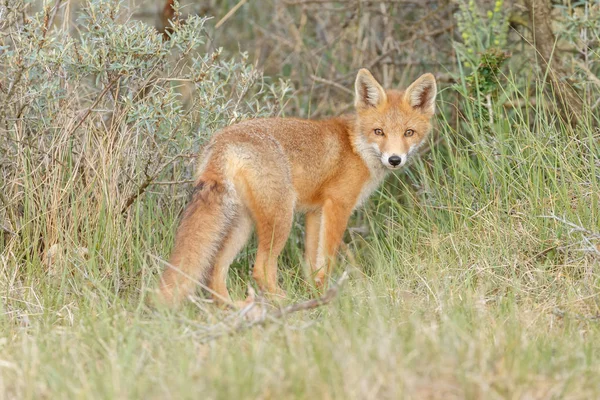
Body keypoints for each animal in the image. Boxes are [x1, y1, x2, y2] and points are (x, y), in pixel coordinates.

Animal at [155, 68, 436, 306]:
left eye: (409, 133)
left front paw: (316, 292)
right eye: (379, 132)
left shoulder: (316, 212)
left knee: (215, 271)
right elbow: (328, 258)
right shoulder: (338, 205)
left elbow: (313, 262)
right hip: (281, 218)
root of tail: (222, 141)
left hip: (243, 224)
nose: (395, 159)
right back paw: (283, 302)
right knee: (260, 269)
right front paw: (324, 297)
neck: (355, 147)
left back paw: (235, 309)